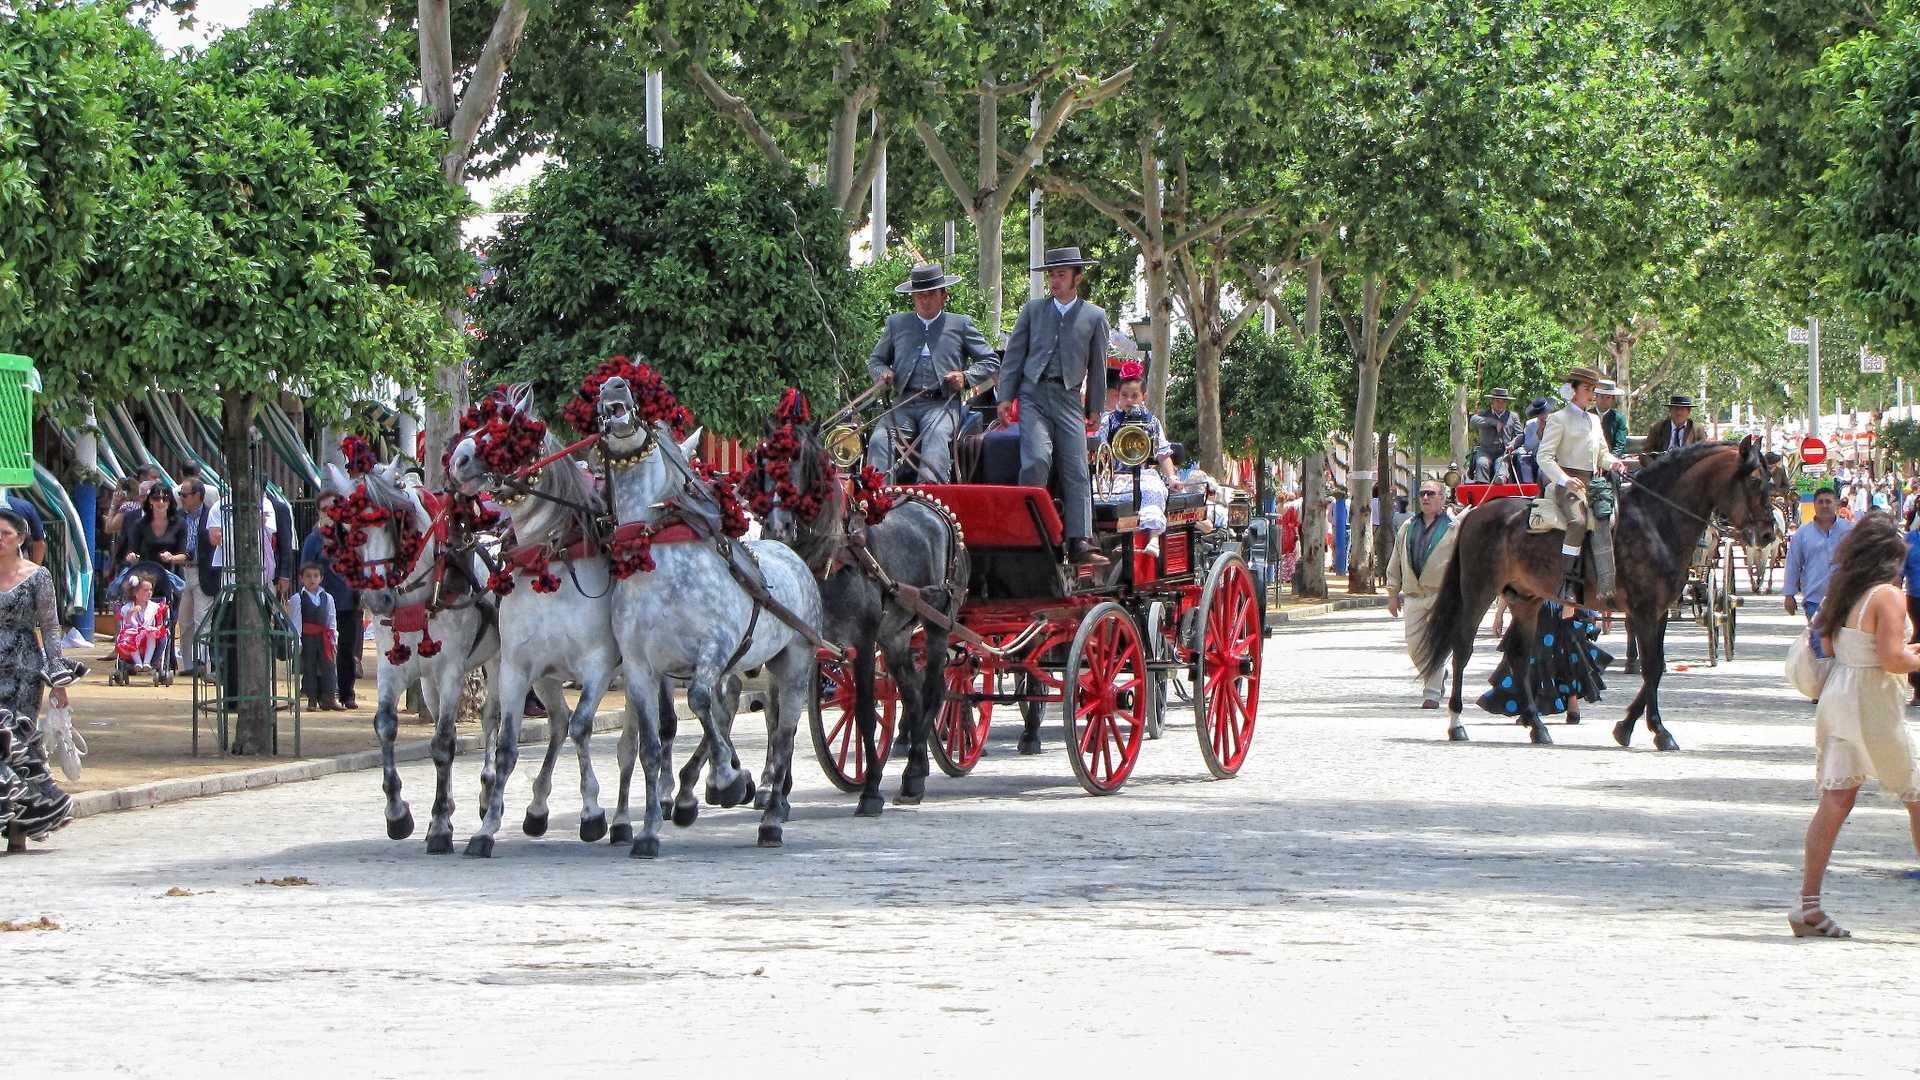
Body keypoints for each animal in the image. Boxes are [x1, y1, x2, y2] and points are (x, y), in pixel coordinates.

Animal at [587, 374, 821, 853]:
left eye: (651, 416)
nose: (613, 383)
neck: (658, 561)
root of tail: (792, 555)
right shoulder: (640, 668)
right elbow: (653, 745)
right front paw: (649, 829)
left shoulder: (712, 651)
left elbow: (699, 702)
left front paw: (730, 779)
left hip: (795, 662)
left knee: (784, 735)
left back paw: (772, 815)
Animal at [1420, 438, 1774, 749]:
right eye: (1756, 481)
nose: (1769, 534)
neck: (1655, 521)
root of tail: (1476, 512)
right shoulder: (1644, 611)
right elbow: (1651, 667)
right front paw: (1658, 731)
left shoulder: (1658, 612)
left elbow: (1657, 667)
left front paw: (1626, 728)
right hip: (1478, 592)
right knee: (1462, 649)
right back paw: (1457, 723)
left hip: (1525, 600)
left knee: (1519, 656)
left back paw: (1537, 726)